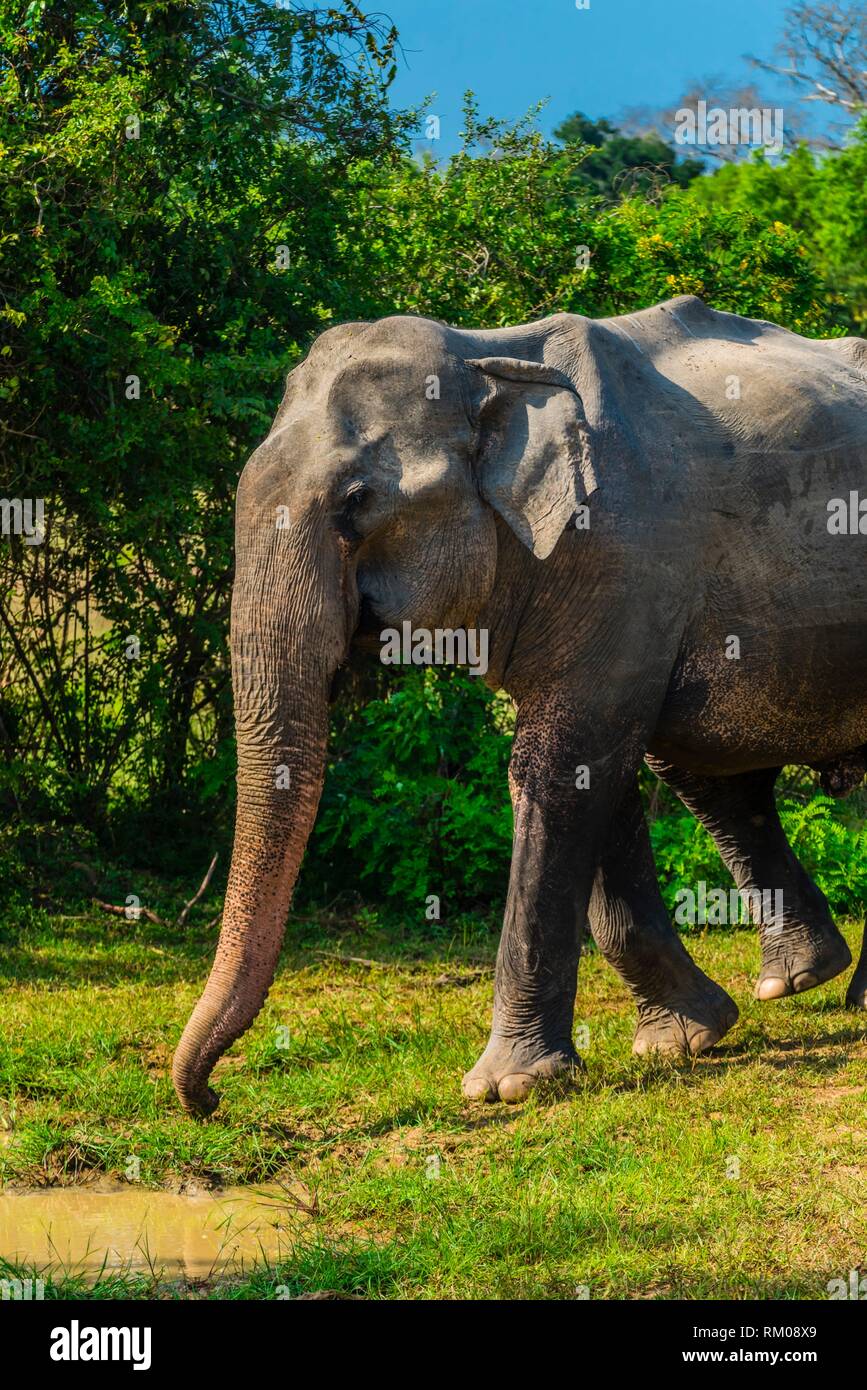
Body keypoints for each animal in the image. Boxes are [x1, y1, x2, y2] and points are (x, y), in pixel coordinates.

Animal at [172, 294, 867, 1116]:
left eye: (357, 502)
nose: (210, 1102)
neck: (488, 357)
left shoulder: (621, 558)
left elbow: (553, 768)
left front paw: (505, 1087)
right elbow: (591, 770)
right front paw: (682, 1041)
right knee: (696, 767)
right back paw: (798, 979)